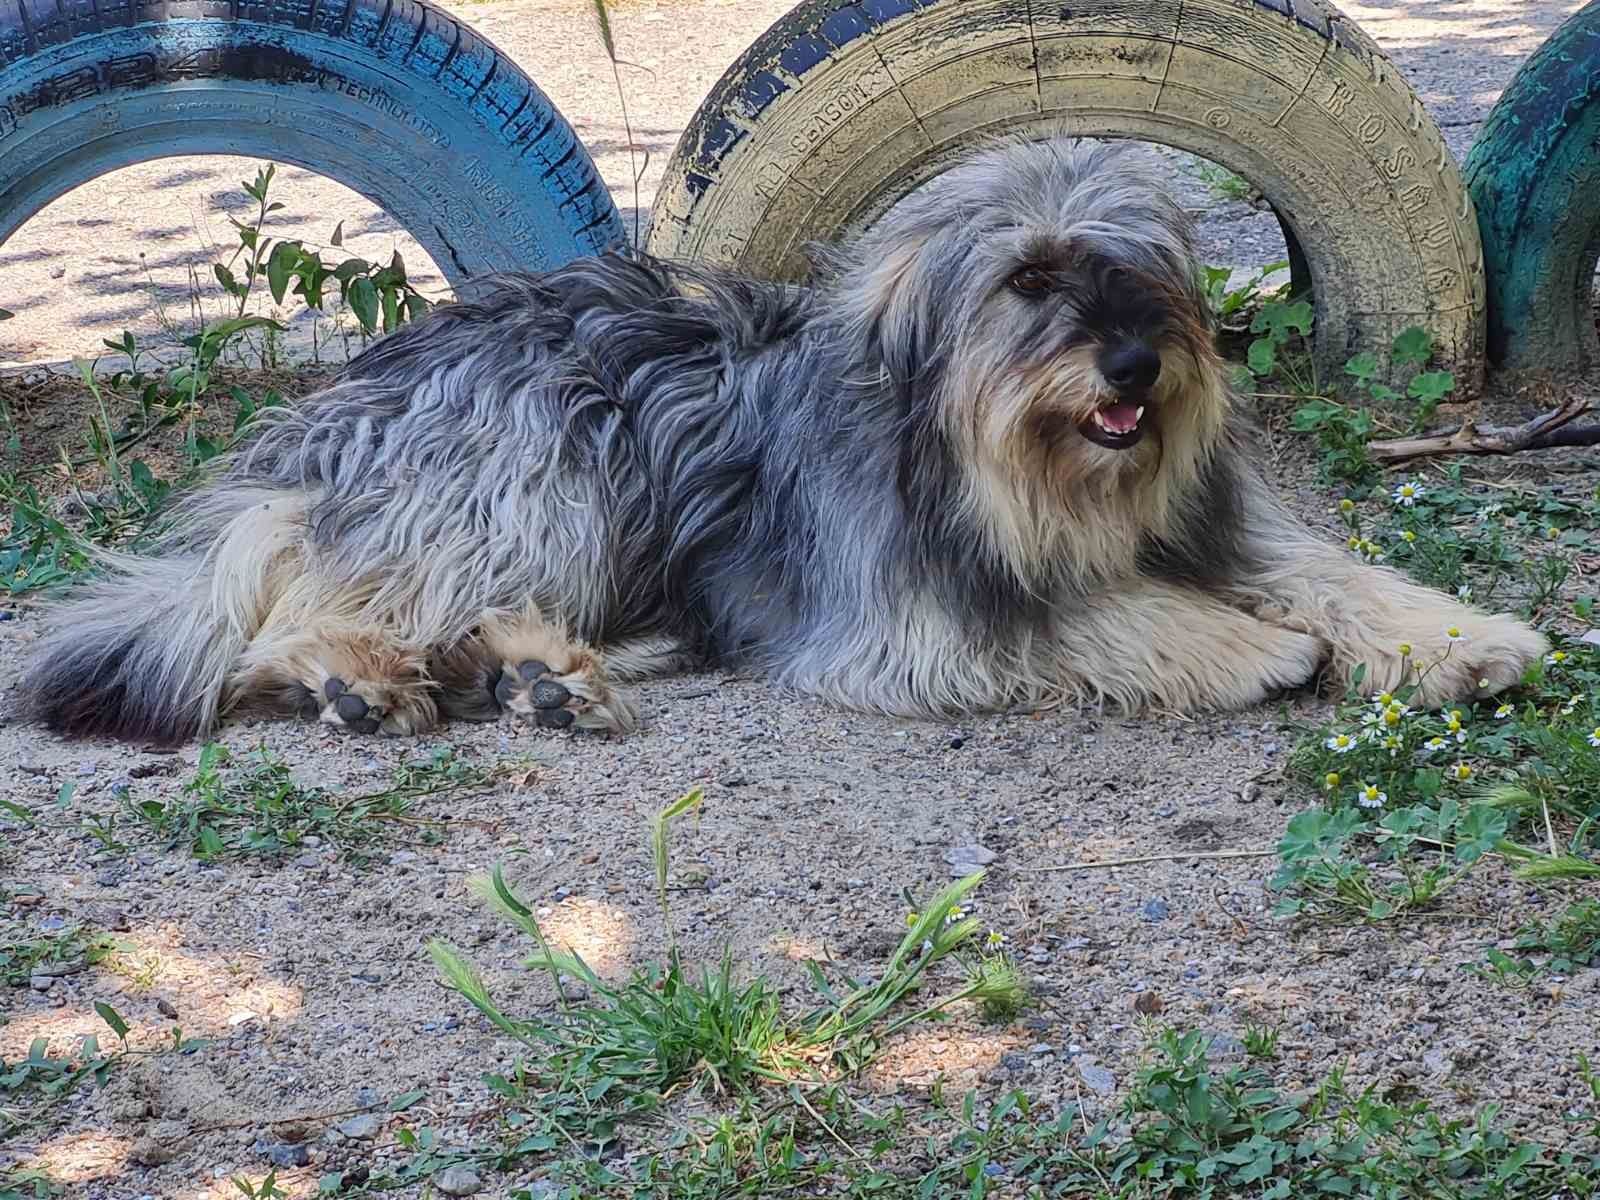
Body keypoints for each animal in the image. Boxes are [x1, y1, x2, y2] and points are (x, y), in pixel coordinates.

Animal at [18, 138, 1548, 742]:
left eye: (1143, 272)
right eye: (1029, 280)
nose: (1135, 364)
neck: (1029, 479)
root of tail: (341, 413)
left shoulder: (1210, 517)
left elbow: (1332, 572)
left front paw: (1464, 638)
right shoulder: (902, 608)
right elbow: (1073, 614)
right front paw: (1243, 648)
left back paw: (541, 676)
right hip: (549, 468)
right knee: (298, 619)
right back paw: (363, 678)